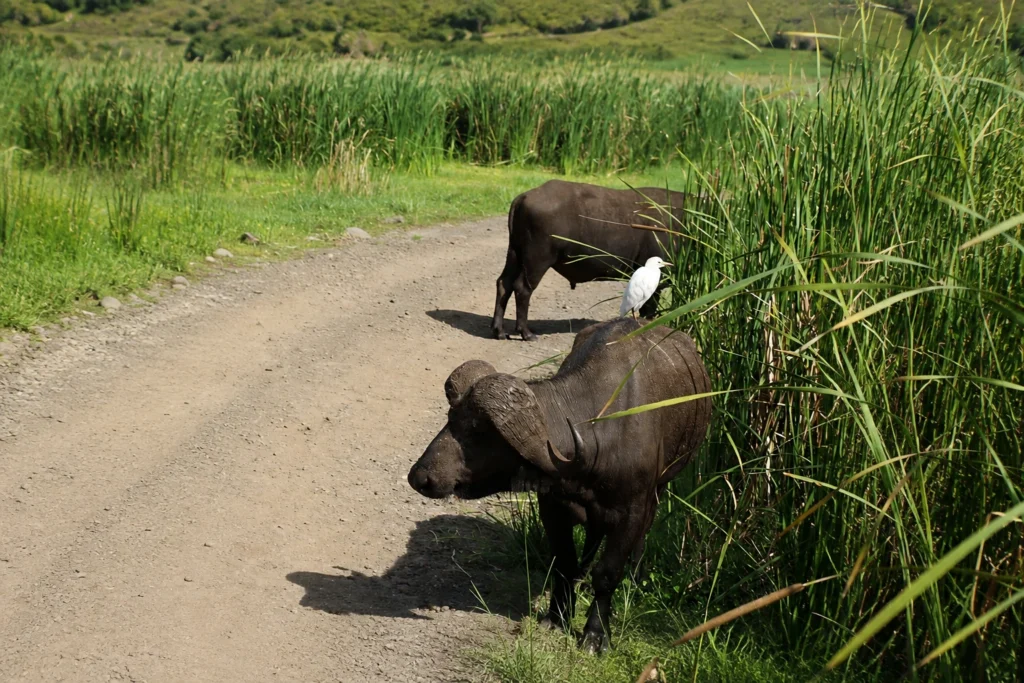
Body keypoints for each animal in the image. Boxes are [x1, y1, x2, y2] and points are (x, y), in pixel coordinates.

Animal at [408, 318, 712, 653]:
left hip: (660, 488)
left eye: (479, 430)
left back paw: (634, 576)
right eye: (450, 417)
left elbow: (608, 574)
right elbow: (564, 563)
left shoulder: (632, 511)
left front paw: (595, 634)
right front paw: (557, 617)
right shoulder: (553, 507)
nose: (420, 477)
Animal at [491, 180, 690, 341]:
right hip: (536, 260)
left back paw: (499, 331)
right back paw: (526, 333)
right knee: (522, 289)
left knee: (504, 284)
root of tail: (523, 197)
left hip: (515, 253)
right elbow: (648, 309)